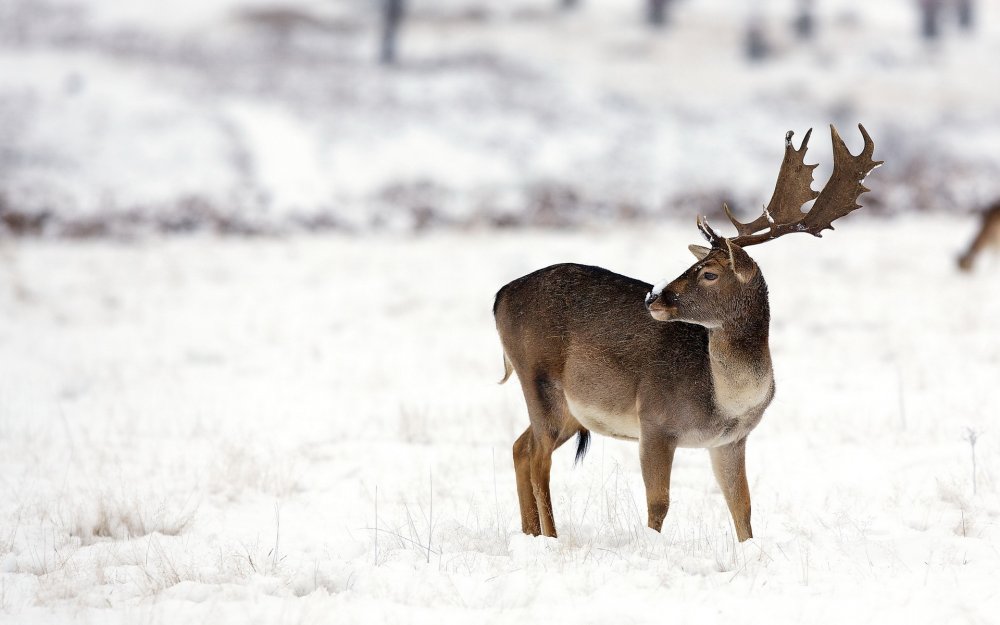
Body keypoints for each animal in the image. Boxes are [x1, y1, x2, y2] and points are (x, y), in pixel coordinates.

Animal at [496, 123, 880, 540]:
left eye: (709, 273)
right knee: (538, 459)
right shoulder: (654, 420)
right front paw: (652, 545)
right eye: (694, 265)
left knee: (520, 447)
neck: (725, 400)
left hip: (569, 410)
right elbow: (659, 504)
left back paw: (530, 533)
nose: (654, 296)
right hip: (540, 379)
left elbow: (742, 508)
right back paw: (551, 537)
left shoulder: (731, 441)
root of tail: (500, 297)